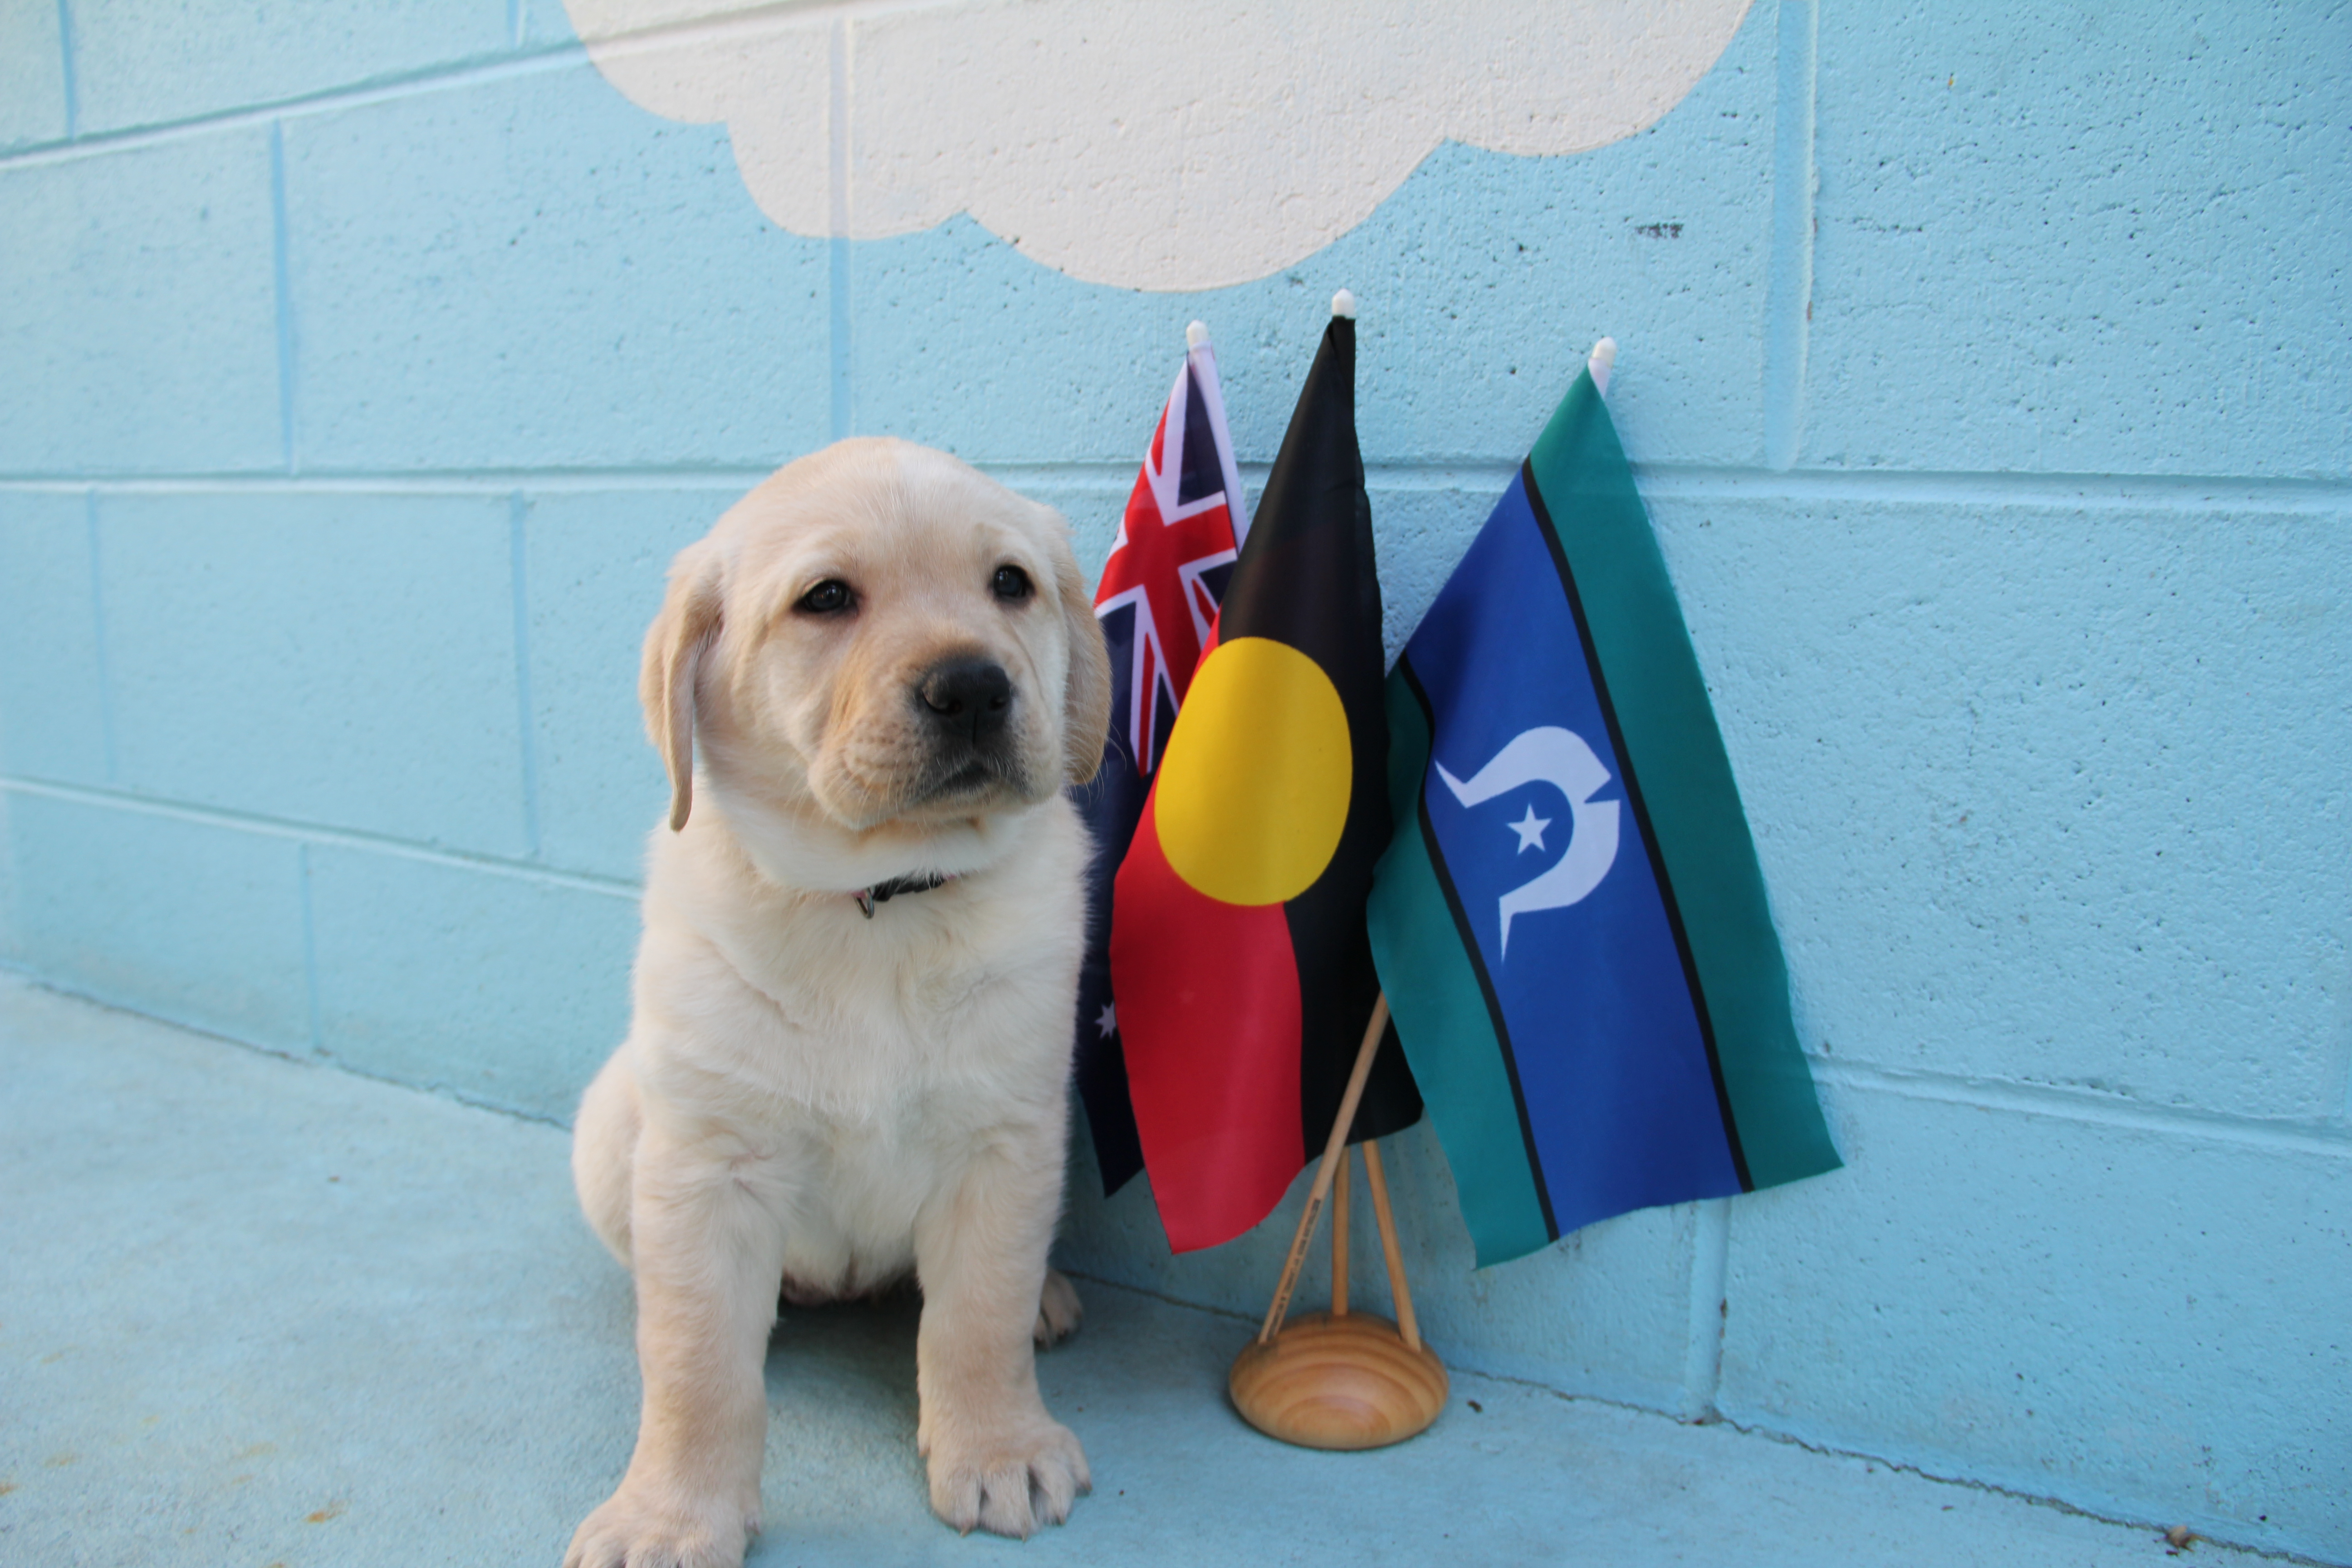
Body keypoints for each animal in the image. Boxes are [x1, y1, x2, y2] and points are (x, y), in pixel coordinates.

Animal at [571, 435, 1119, 1561]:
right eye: (826, 599)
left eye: (1011, 585)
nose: (974, 686)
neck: (883, 900)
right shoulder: (706, 1164)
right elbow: (694, 1363)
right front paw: (669, 1514)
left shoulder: (1003, 1140)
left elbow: (977, 1318)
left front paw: (998, 1448)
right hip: (611, 1130)